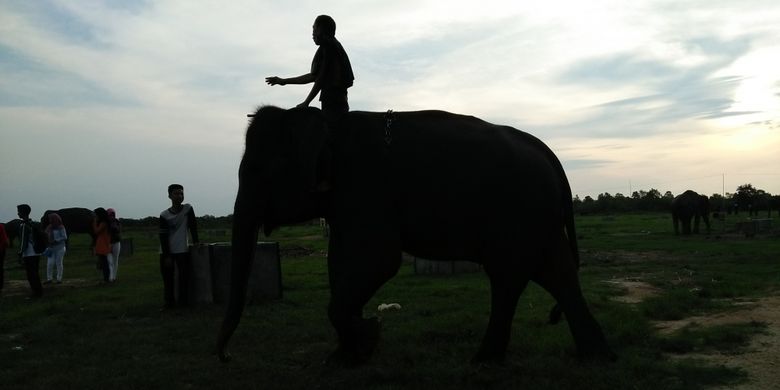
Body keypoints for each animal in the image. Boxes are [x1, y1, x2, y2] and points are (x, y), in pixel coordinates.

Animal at [215, 105, 616, 364]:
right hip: (535, 217)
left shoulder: (367, 192)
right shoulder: (345, 205)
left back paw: (491, 359)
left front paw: (370, 335)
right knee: (550, 274)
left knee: (514, 276)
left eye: (260, 170)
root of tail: (548, 153)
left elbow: (378, 260)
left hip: (520, 211)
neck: (324, 123)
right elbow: (340, 262)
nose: (226, 356)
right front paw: (346, 355)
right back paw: (590, 357)